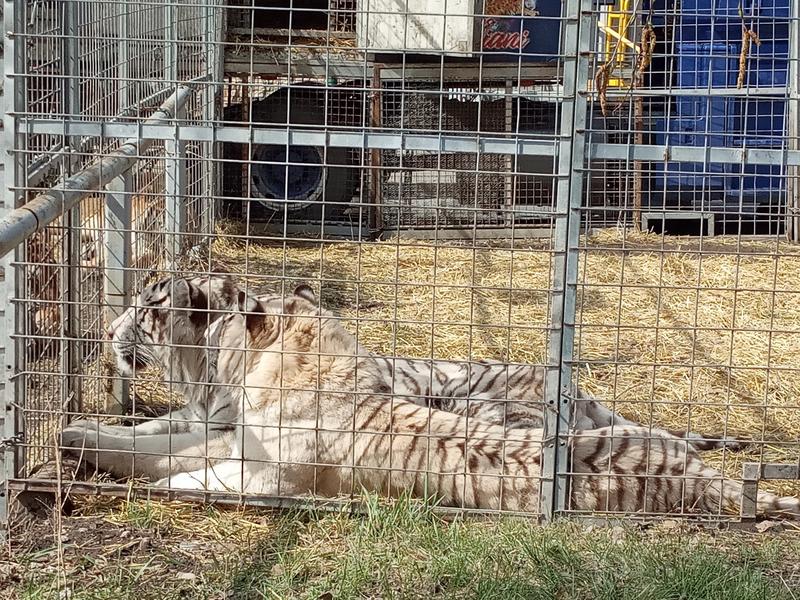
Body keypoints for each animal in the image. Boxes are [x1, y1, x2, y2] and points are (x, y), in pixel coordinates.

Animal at [60, 276, 799, 517]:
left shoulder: (261, 470)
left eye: (147, 310)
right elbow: (159, 441)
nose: (108, 329)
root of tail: (706, 476)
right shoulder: (224, 432)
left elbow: (187, 473)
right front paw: (80, 436)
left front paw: (132, 475)